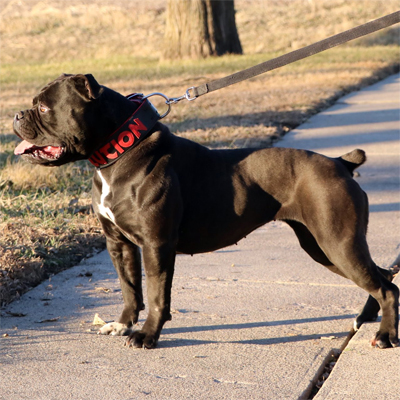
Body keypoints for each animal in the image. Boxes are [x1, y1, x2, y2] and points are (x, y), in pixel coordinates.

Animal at [12, 73, 396, 348]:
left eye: (44, 108)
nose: (16, 114)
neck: (119, 152)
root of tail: (341, 163)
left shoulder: (157, 246)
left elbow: (156, 294)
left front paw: (147, 336)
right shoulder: (119, 244)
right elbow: (130, 288)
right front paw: (122, 324)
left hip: (337, 242)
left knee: (386, 286)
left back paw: (385, 337)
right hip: (323, 247)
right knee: (384, 277)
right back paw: (368, 321)